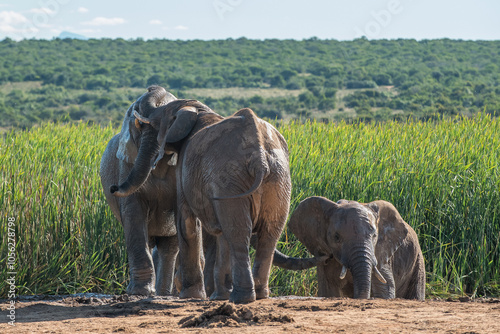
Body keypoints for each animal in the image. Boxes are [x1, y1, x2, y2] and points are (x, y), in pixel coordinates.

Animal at [98, 85, 179, 294]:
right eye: (138, 125)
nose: (113, 187)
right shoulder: (125, 165)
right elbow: (133, 215)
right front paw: (140, 292)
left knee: (169, 247)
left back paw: (163, 293)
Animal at [110, 91, 292, 302]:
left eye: (156, 126)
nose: (113, 187)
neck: (196, 109)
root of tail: (260, 158)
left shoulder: (184, 168)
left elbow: (187, 223)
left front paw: (192, 295)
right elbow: (218, 234)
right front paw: (217, 297)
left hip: (232, 180)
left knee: (238, 233)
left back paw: (241, 298)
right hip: (278, 180)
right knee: (269, 234)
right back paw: (259, 296)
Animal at [290, 196, 426, 300]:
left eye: (374, 235)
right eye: (336, 237)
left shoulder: (380, 254)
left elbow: (384, 289)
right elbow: (328, 291)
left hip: (418, 261)